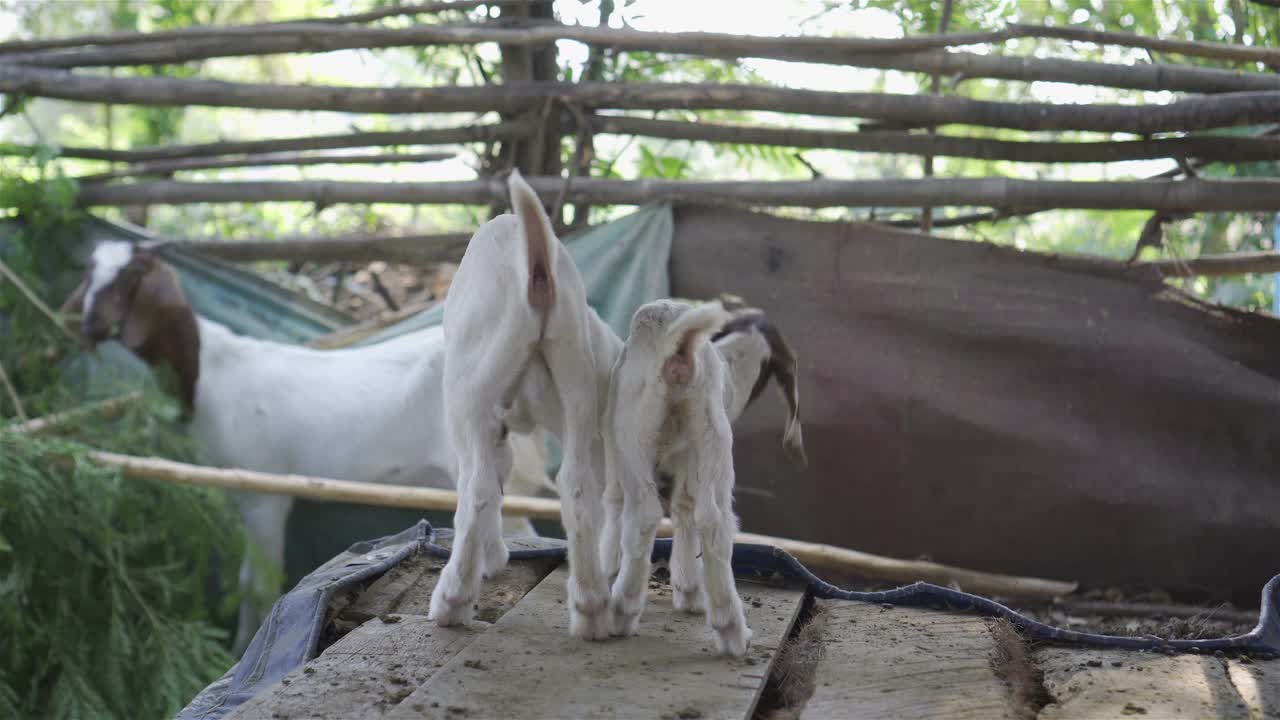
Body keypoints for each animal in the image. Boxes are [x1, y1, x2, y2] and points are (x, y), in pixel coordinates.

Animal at [63, 239, 555, 650]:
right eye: (88, 271)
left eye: (131, 278)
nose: (88, 324)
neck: (211, 374)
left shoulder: (265, 491)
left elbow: (255, 584)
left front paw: (242, 649)